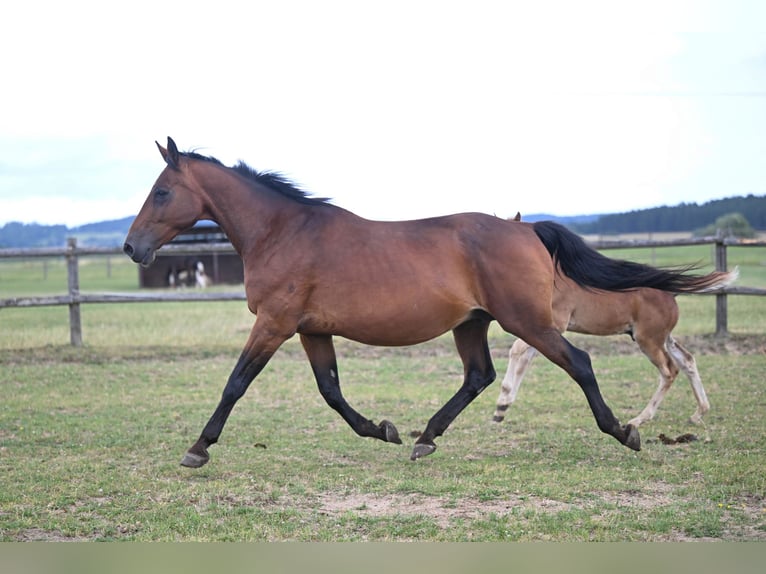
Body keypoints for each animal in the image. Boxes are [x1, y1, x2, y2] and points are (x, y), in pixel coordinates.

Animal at [493, 215, 737, 428]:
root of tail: (670, 294)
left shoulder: (551, 326)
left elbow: (516, 351)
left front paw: (502, 401)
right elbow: (524, 359)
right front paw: (503, 406)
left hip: (648, 341)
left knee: (670, 371)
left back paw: (640, 418)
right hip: (663, 338)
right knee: (687, 360)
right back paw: (699, 413)